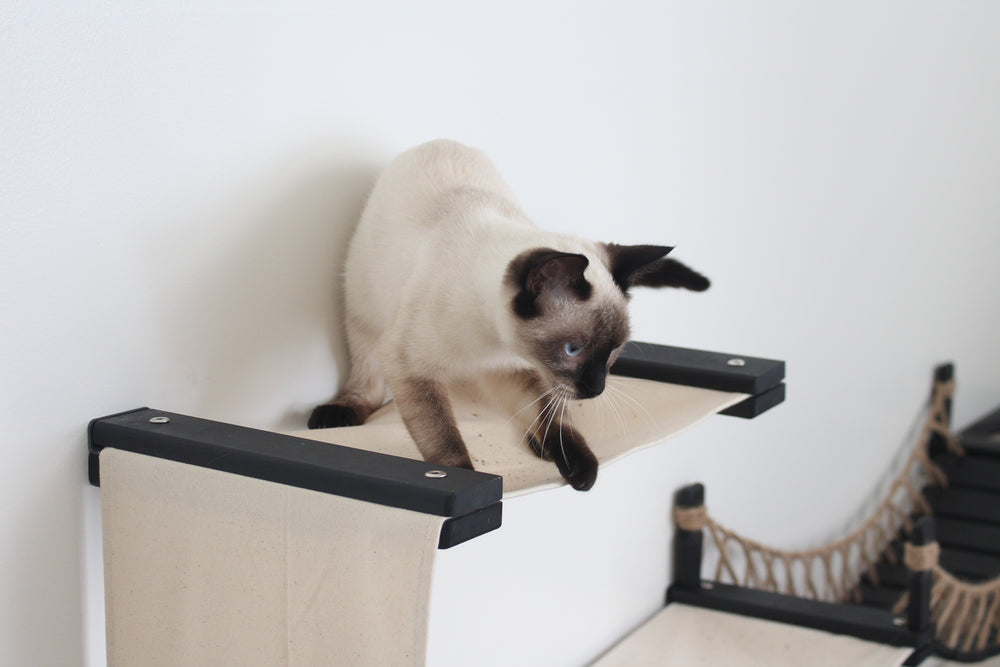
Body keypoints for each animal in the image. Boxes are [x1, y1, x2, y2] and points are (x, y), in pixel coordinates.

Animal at [308, 140, 708, 490]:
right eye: (573, 350)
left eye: (613, 351)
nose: (596, 389)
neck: (493, 343)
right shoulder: (410, 366)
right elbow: (443, 441)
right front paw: (462, 479)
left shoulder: (516, 368)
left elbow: (551, 417)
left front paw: (575, 463)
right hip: (364, 309)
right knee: (366, 375)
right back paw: (337, 412)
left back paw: (540, 446)